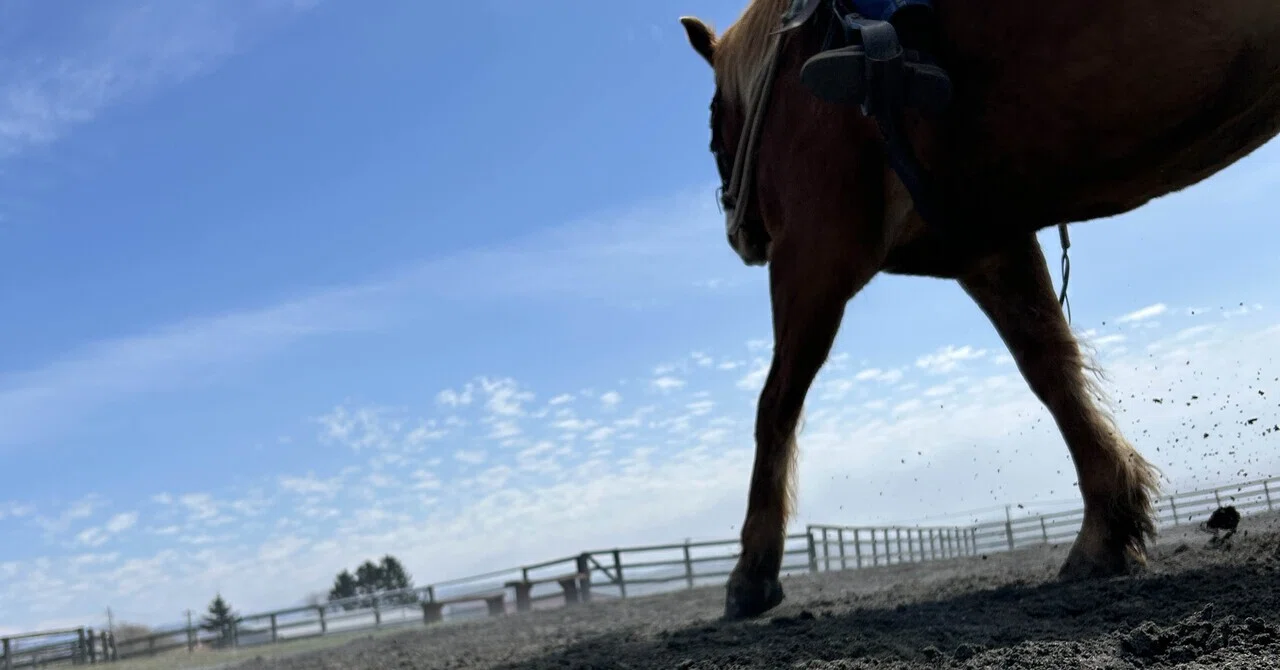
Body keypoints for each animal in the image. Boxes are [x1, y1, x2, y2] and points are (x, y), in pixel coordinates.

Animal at [677, 0, 1280, 620]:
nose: (741, 233)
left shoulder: (813, 257)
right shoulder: (989, 246)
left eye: (712, 123)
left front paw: (752, 571)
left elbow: (775, 406)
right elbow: (1049, 365)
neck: (794, 67)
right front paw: (1107, 527)